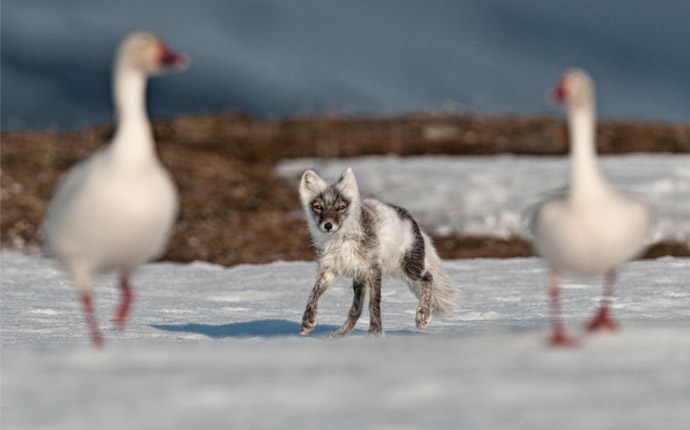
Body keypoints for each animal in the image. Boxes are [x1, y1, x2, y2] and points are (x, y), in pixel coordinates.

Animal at [296, 166, 456, 338]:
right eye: (318, 207)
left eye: (341, 207)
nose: (328, 225)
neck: (341, 240)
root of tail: (410, 218)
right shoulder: (329, 269)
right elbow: (312, 295)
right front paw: (307, 321)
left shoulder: (373, 267)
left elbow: (374, 303)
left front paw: (375, 332)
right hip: (361, 280)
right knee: (355, 311)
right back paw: (340, 334)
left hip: (408, 269)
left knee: (428, 277)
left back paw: (422, 315)